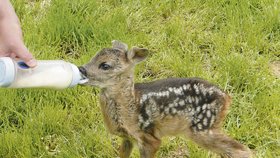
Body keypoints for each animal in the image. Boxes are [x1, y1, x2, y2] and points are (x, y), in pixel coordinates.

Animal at [79, 40, 252, 158]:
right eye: (94, 56)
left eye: (105, 65)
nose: (81, 69)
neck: (131, 107)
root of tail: (226, 98)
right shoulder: (127, 138)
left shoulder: (148, 137)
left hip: (202, 127)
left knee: (242, 150)